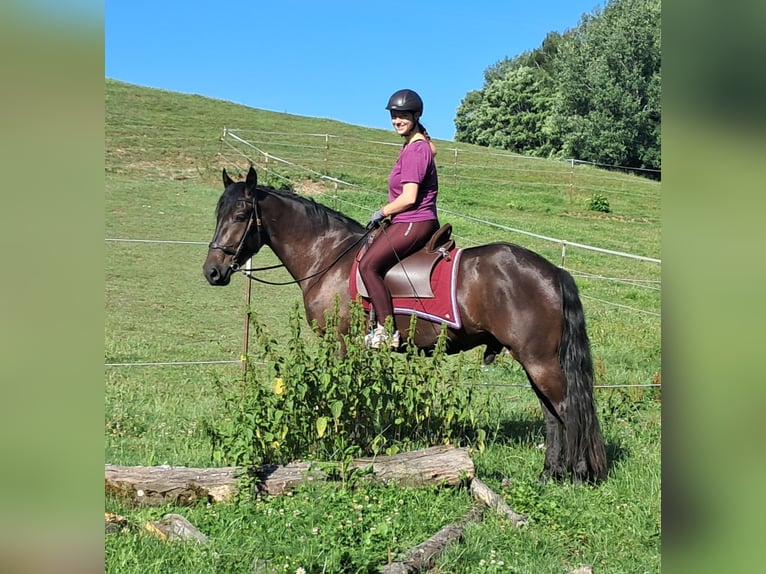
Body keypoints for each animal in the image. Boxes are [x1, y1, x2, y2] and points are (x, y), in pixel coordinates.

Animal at [203, 166, 607, 483]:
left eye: (240, 216)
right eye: (217, 214)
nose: (212, 272)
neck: (329, 257)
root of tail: (553, 271)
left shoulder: (340, 345)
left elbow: (341, 398)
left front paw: (339, 446)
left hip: (539, 360)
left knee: (568, 409)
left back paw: (577, 473)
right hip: (534, 359)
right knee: (551, 414)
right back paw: (550, 472)